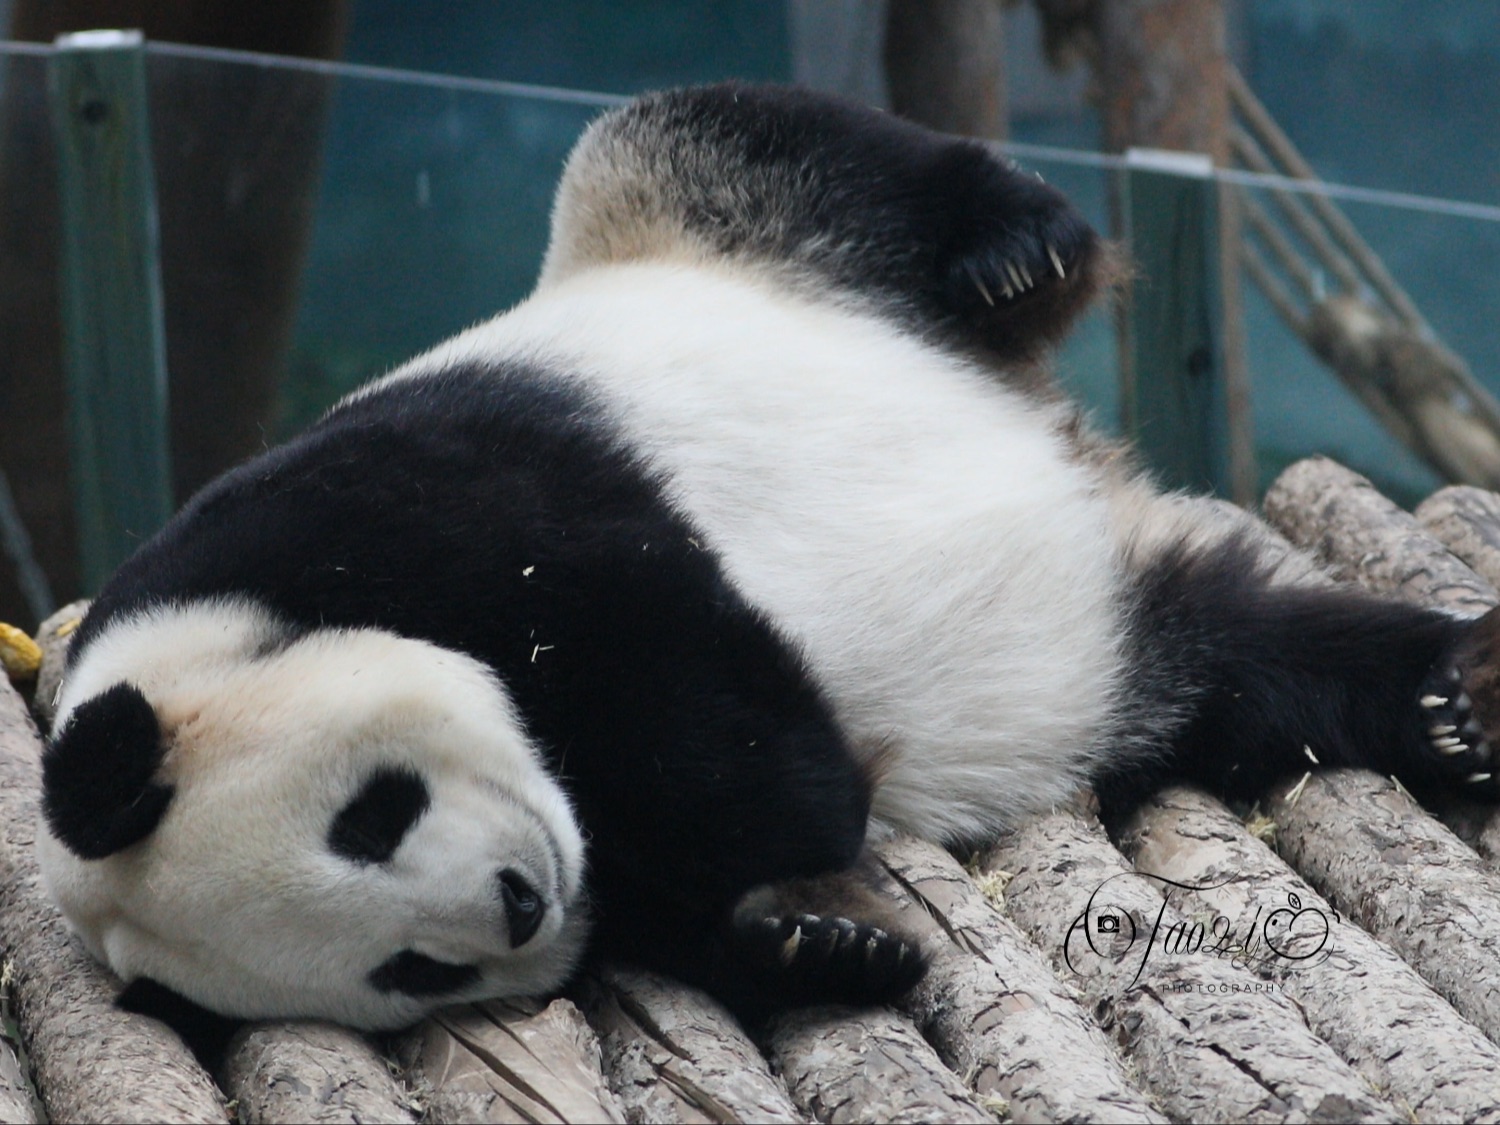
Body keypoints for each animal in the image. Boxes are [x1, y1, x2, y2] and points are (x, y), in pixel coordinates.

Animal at [29, 83, 1500, 1044]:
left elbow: (700, 683)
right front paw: (811, 941)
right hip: (1135, 637)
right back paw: (1445, 702)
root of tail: (1068, 450)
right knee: (1257, 660)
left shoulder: (388, 504)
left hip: (713, 231)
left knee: (747, 143)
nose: (518, 900)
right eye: (406, 970)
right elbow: (700, 896)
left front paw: (792, 808)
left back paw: (1014, 253)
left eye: (370, 815)